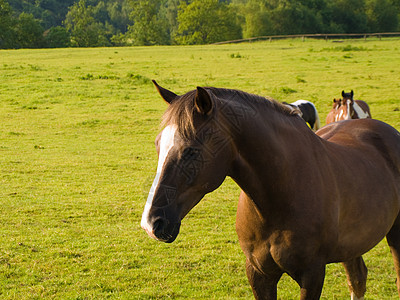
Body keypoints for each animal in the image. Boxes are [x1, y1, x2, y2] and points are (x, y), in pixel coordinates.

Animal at [141, 82, 400, 300]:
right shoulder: (258, 274)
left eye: (191, 150)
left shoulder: (312, 275)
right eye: (157, 145)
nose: (151, 223)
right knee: (357, 280)